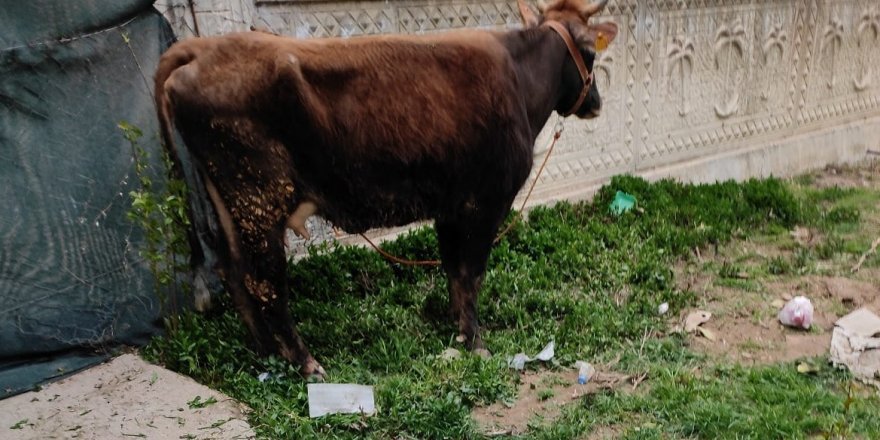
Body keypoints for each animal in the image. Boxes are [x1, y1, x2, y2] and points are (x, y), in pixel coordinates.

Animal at [153, 0, 620, 378]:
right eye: (591, 53)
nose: (597, 103)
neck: (519, 79)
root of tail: (202, 49)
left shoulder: (450, 206)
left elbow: (453, 271)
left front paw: (456, 328)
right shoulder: (485, 201)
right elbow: (471, 272)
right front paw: (476, 342)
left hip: (230, 203)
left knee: (234, 274)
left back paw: (267, 355)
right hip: (259, 199)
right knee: (263, 282)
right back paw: (305, 363)